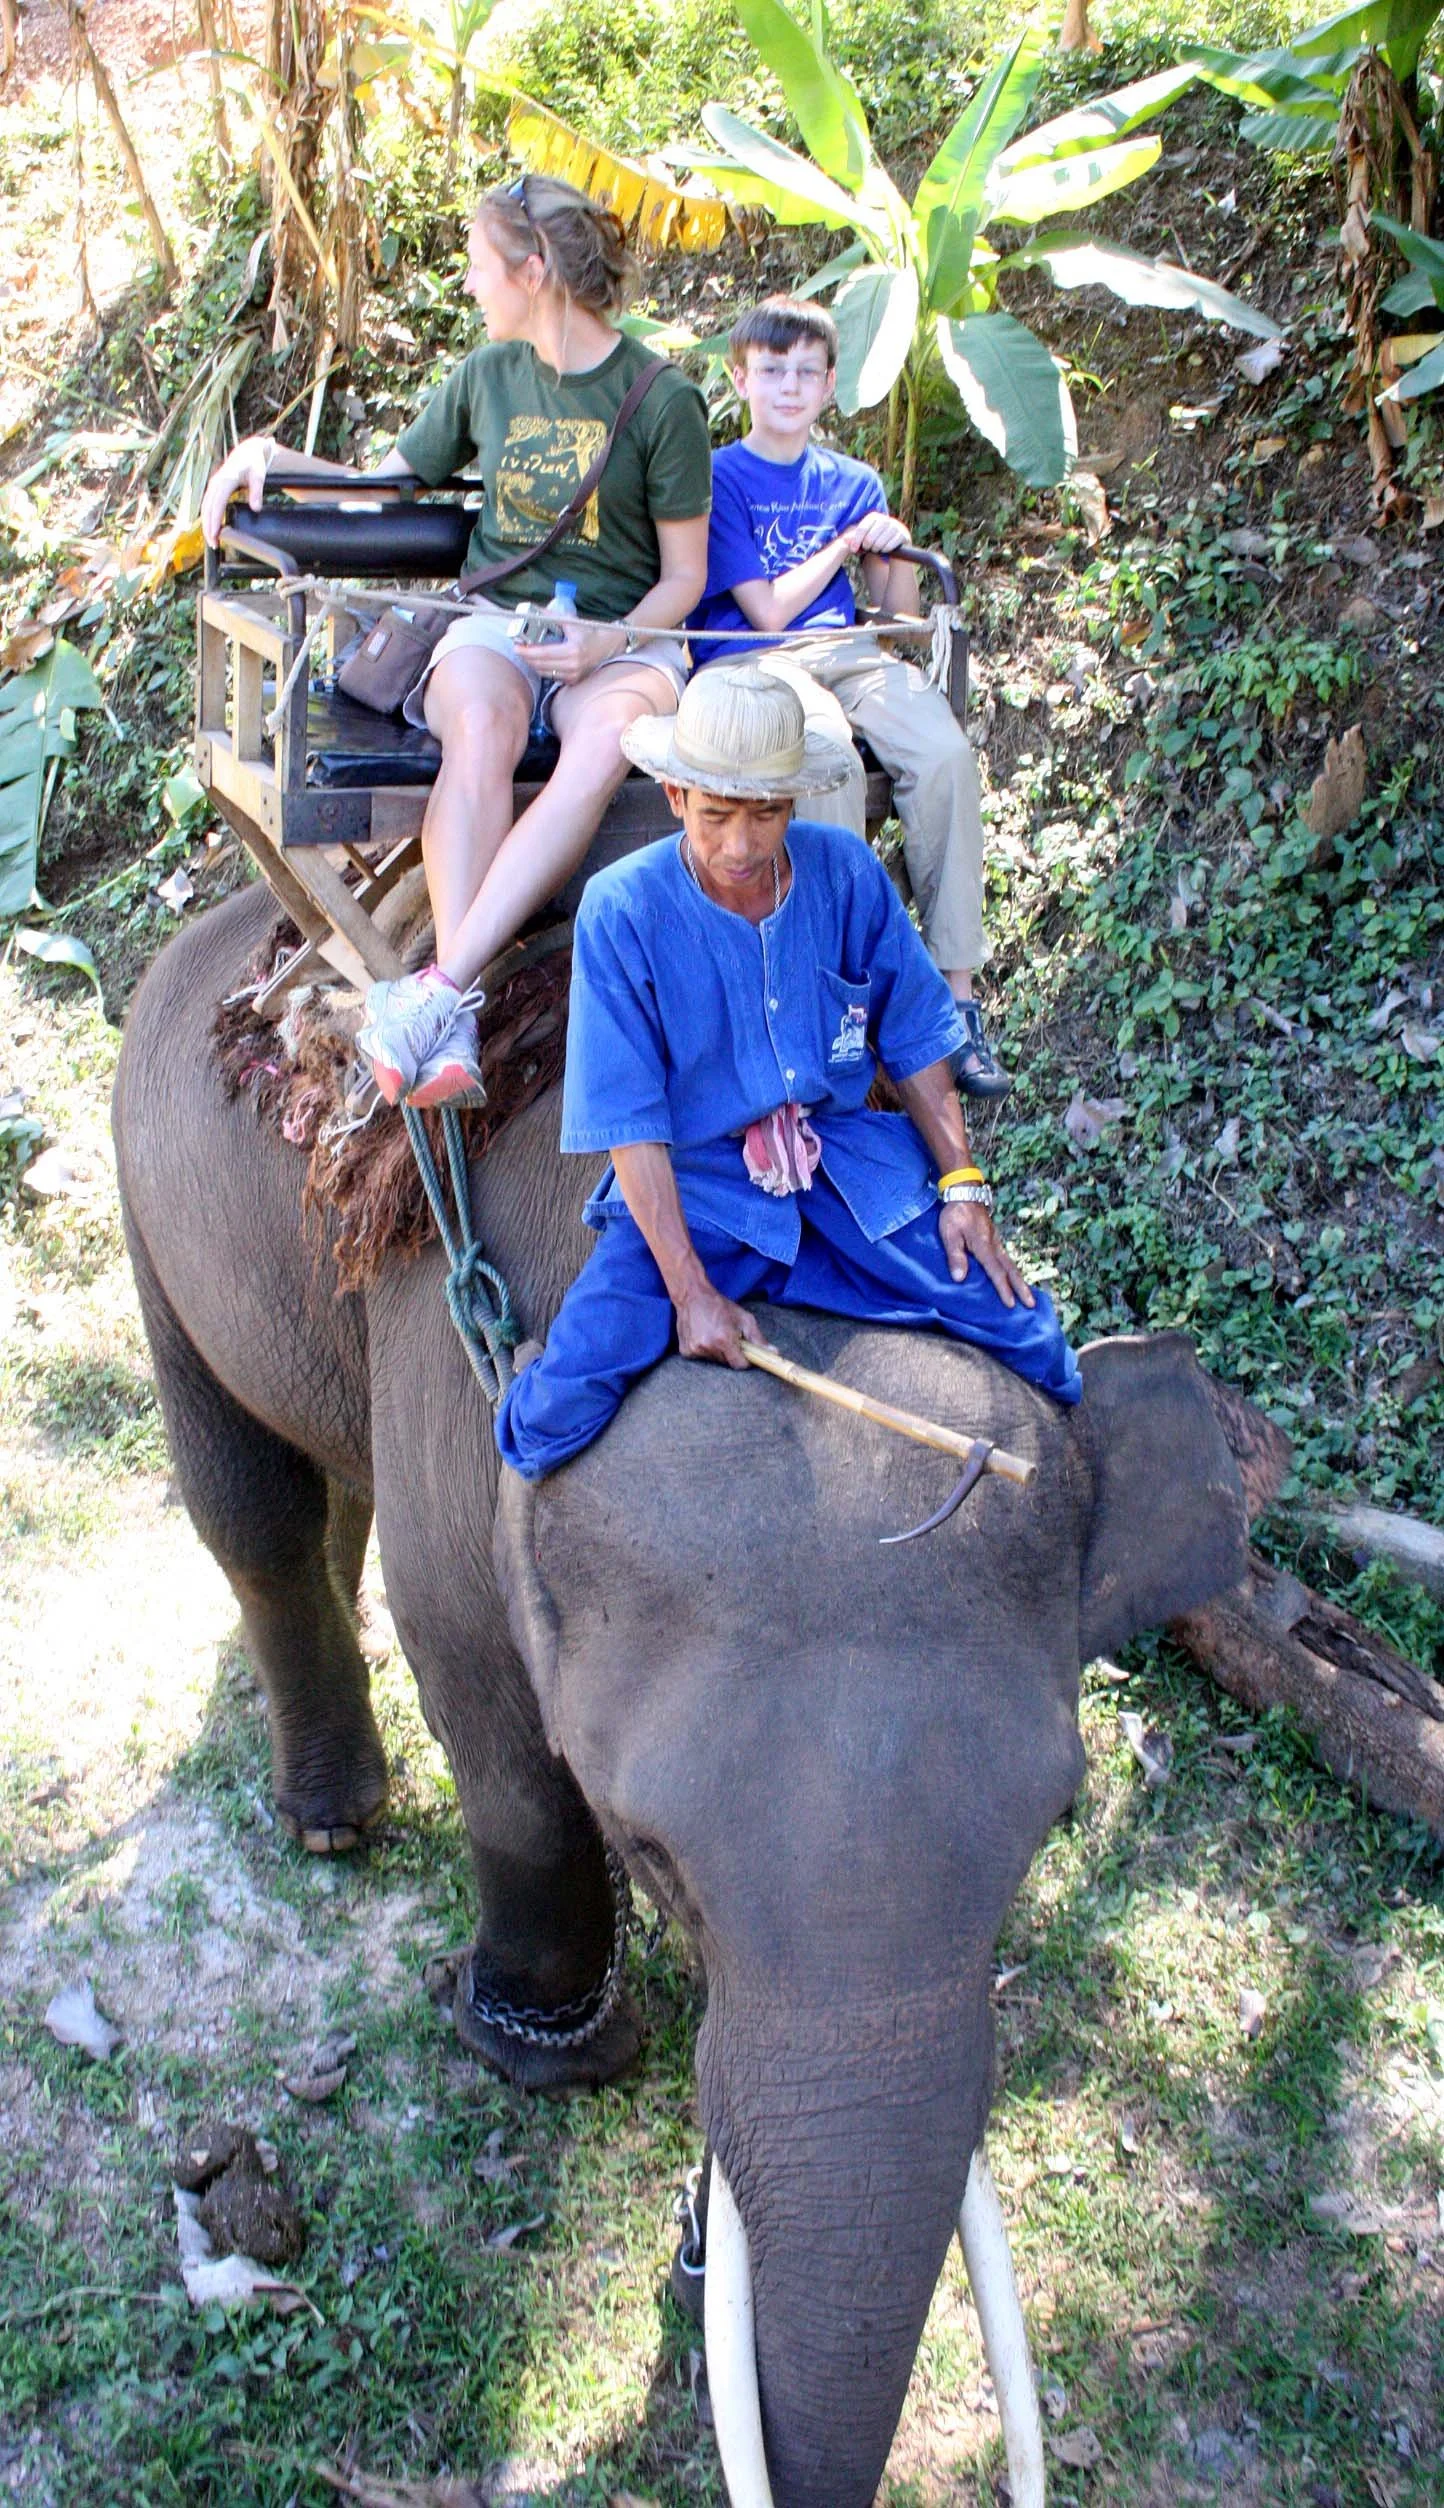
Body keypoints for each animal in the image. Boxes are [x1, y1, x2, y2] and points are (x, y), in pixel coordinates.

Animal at [114, 884, 1287, 2508]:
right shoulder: (457, 1428)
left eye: (1054, 1831)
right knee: (253, 1504)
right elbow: (484, 1704)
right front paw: (534, 2051)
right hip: (157, 1202)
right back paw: (333, 1828)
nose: (689, 2252)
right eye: (654, 1853)